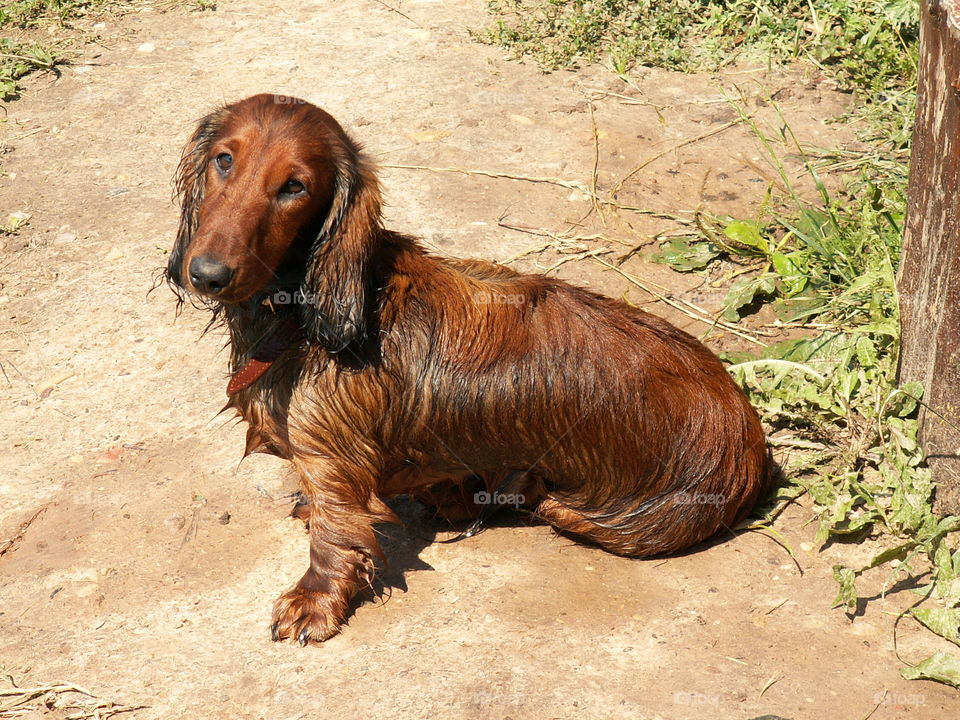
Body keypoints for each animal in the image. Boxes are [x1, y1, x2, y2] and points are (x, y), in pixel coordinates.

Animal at [165, 93, 764, 644]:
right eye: (224, 160)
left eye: (296, 186)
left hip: (598, 516)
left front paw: (314, 600)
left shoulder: (330, 455)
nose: (207, 274)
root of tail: (748, 444)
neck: (305, 311)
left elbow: (337, 531)